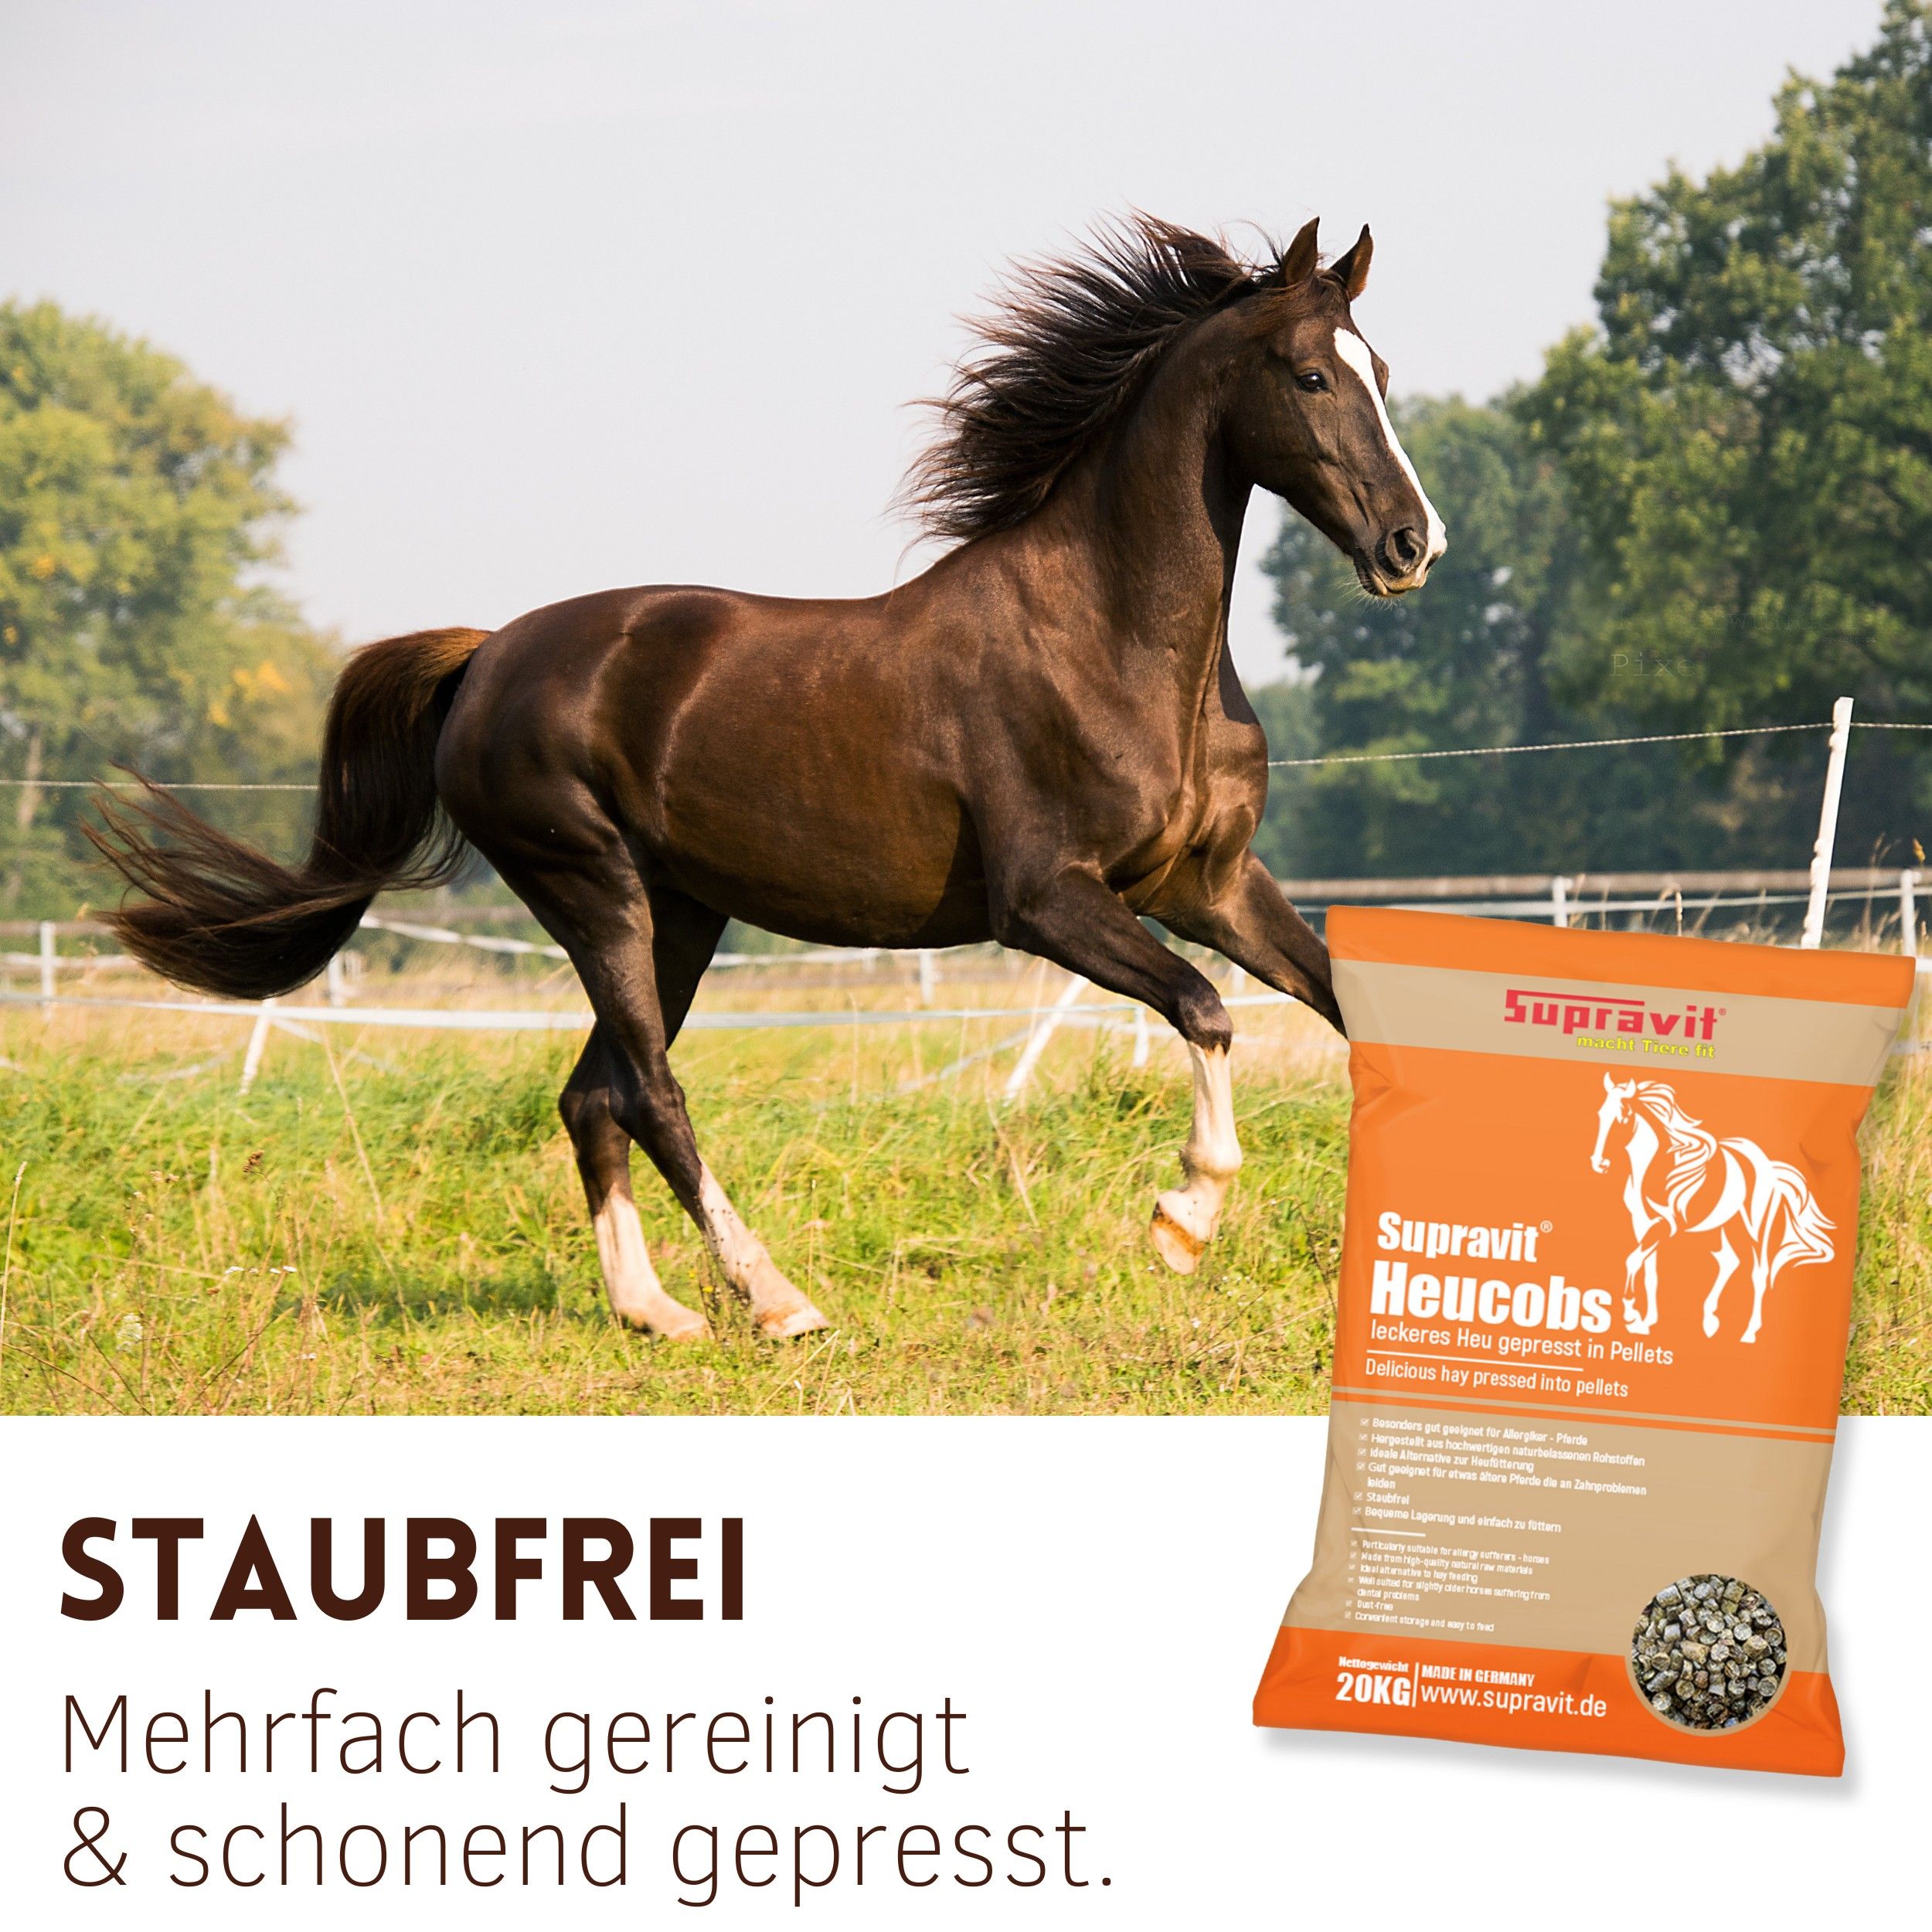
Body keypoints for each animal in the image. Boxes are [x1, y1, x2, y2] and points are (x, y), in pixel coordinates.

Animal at [90, 214, 1445, 1343]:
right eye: (1312, 375)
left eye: (1383, 372)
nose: (1410, 546)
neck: (1111, 639)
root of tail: (486, 657)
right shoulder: (1047, 902)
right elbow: (1206, 1009)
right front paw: (1182, 1222)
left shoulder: (1209, 884)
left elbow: (1349, 1008)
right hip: (594, 892)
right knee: (651, 1093)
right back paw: (777, 1301)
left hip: (680, 914)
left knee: (591, 1097)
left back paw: (655, 1313)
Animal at [1588, 1074, 1835, 1344]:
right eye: (1600, 1114)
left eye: (1623, 1117)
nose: (1599, 1163)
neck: (1654, 1169)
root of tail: (1769, 1167)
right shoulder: (1641, 1223)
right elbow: (1649, 1273)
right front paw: (1645, 1322)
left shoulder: (1667, 1224)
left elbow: (1632, 1260)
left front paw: (1631, 1315)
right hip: (1725, 1224)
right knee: (1729, 1260)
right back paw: (1710, 1321)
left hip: (1754, 1229)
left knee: (1758, 1273)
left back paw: (1748, 1333)